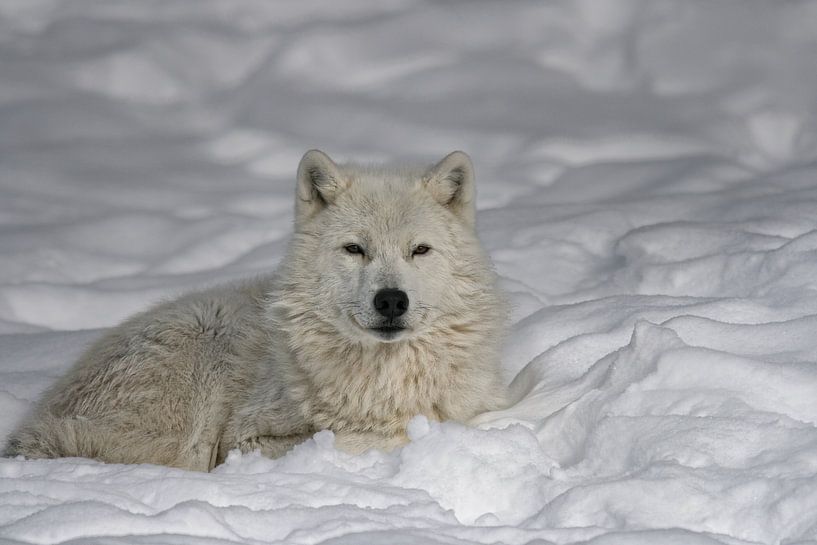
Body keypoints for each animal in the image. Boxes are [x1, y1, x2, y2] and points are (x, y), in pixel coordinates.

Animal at [3, 149, 506, 468]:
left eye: (419, 250)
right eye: (354, 249)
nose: (391, 300)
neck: (382, 385)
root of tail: (45, 414)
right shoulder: (247, 438)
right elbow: (356, 438)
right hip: (204, 341)